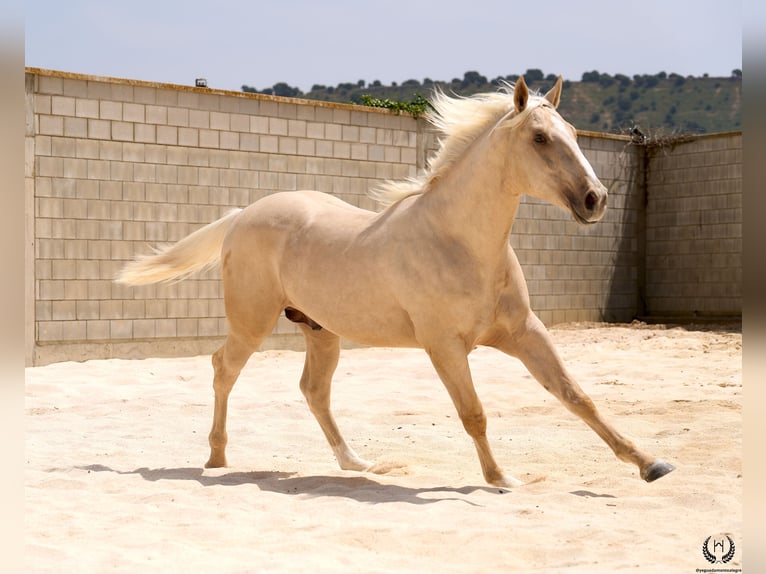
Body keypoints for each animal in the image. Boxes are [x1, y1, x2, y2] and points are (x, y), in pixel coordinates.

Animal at [117, 76, 674, 487]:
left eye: (575, 133)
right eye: (539, 138)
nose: (595, 200)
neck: (460, 243)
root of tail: (241, 217)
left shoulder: (523, 332)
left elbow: (576, 395)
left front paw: (651, 464)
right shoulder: (444, 346)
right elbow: (474, 413)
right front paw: (501, 479)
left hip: (321, 331)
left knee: (313, 391)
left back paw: (357, 464)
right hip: (252, 323)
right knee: (223, 370)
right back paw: (216, 459)